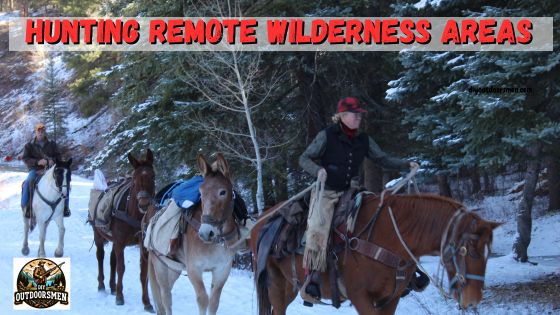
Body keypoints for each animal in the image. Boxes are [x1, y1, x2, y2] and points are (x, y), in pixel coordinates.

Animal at [93, 149, 156, 312]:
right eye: (134, 179)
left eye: (153, 176)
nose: (144, 203)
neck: (134, 214)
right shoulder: (120, 242)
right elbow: (121, 268)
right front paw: (120, 297)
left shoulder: (142, 245)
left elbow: (143, 272)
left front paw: (146, 302)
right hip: (98, 236)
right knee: (100, 257)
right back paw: (101, 285)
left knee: (111, 259)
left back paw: (112, 286)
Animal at [147, 154, 241, 315]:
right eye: (201, 193)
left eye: (223, 192)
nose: (206, 232)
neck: (216, 241)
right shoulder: (194, 270)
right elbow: (203, 300)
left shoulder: (222, 271)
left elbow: (213, 303)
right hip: (161, 267)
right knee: (165, 297)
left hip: (174, 268)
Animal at [252, 194, 500, 314]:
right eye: (467, 251)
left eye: (488, 254)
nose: (473, 301)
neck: (388, 238)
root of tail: (260, 223)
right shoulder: (360, 296)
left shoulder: (389, 299)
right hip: (274, 284)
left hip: (290, 286)